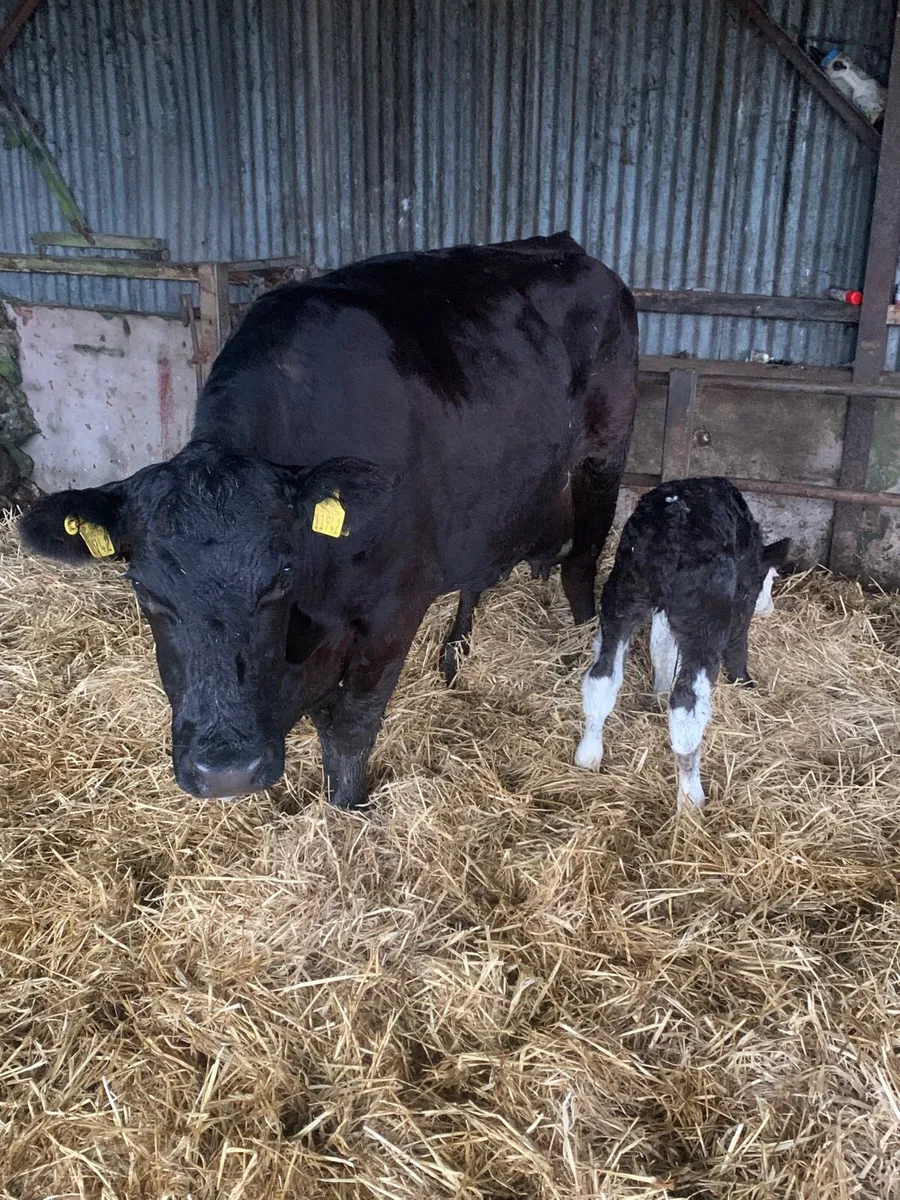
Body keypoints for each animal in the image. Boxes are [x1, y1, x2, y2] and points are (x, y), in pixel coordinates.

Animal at [20, 233, 638, 810]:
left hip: (604, 456)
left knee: (582, 563)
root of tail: (562, 247)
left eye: (279, 579)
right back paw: (454, 656)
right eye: (144, 590)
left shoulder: (393, 610)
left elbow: (350, 725)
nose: (225, 773)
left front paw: (348, 812)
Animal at [574, 477, 789, 810]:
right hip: (705, 617)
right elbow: (737, 642)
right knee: (687, 703)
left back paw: (588, 754)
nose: (770, 607)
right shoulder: (741, 597)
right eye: (771, 579)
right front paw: (745, 682)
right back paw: (691, 798)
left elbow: (661, 647)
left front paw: (658, 693)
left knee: (602, 676)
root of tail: (672, 518)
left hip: (623, 594)